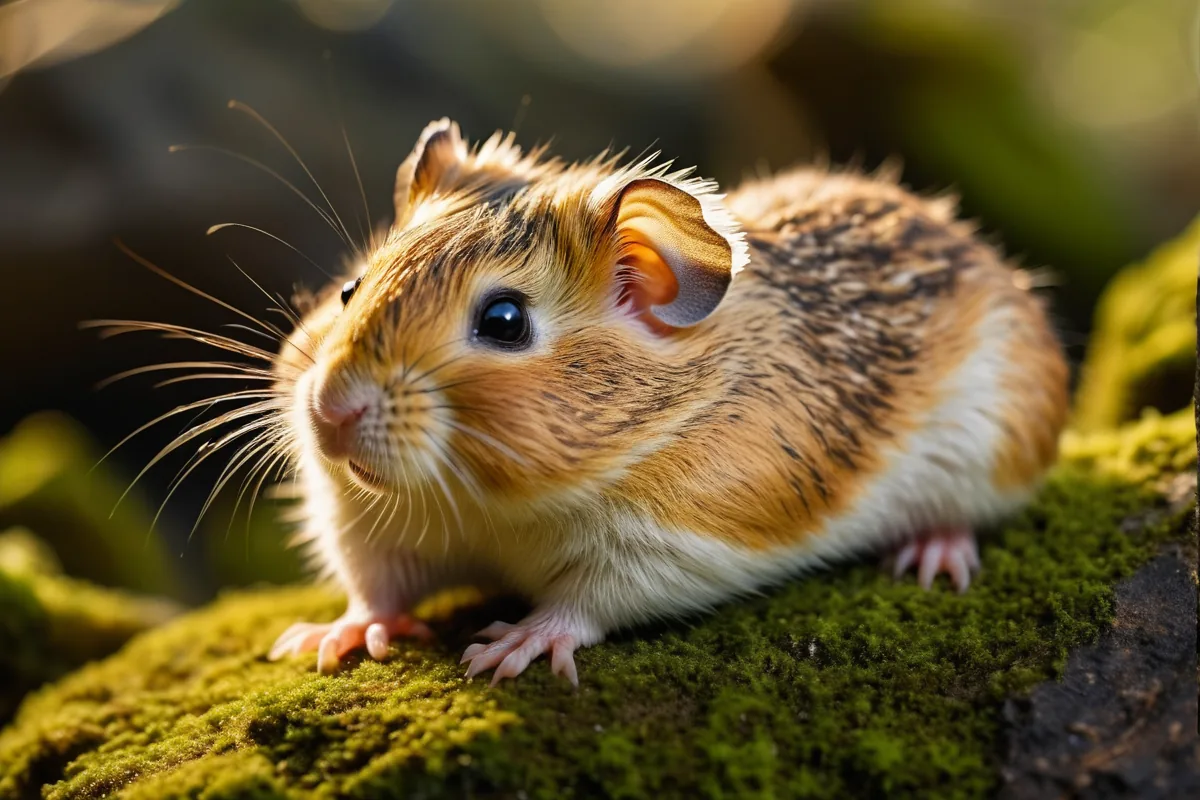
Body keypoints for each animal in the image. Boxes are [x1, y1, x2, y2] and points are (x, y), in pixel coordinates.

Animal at [267, 119, 1069, 686]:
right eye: (350, 289)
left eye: (504, 321)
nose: (330, 411)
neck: (486, 500)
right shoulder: (364, 522)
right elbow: (376, 588)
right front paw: (327, 638)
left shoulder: (681, 537)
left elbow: (586, 602)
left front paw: (509, 648)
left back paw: (932, 554)